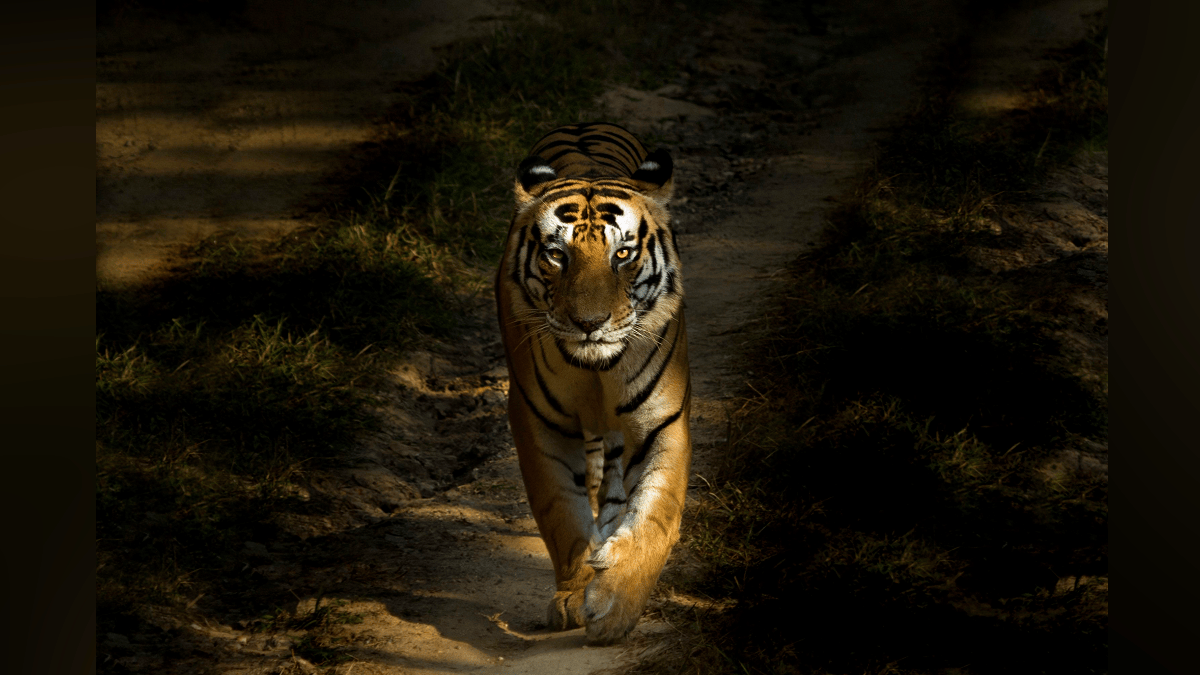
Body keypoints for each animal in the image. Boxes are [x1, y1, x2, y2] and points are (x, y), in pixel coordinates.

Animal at [495, 122, 691, 644]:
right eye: (556, 256)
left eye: (622, 254)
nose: (589, 323)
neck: (596, 370)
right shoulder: (537, 423)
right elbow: (561, 513)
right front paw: (574, 594)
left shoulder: (662, 420)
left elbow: (654, 515)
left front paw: (616, 603)